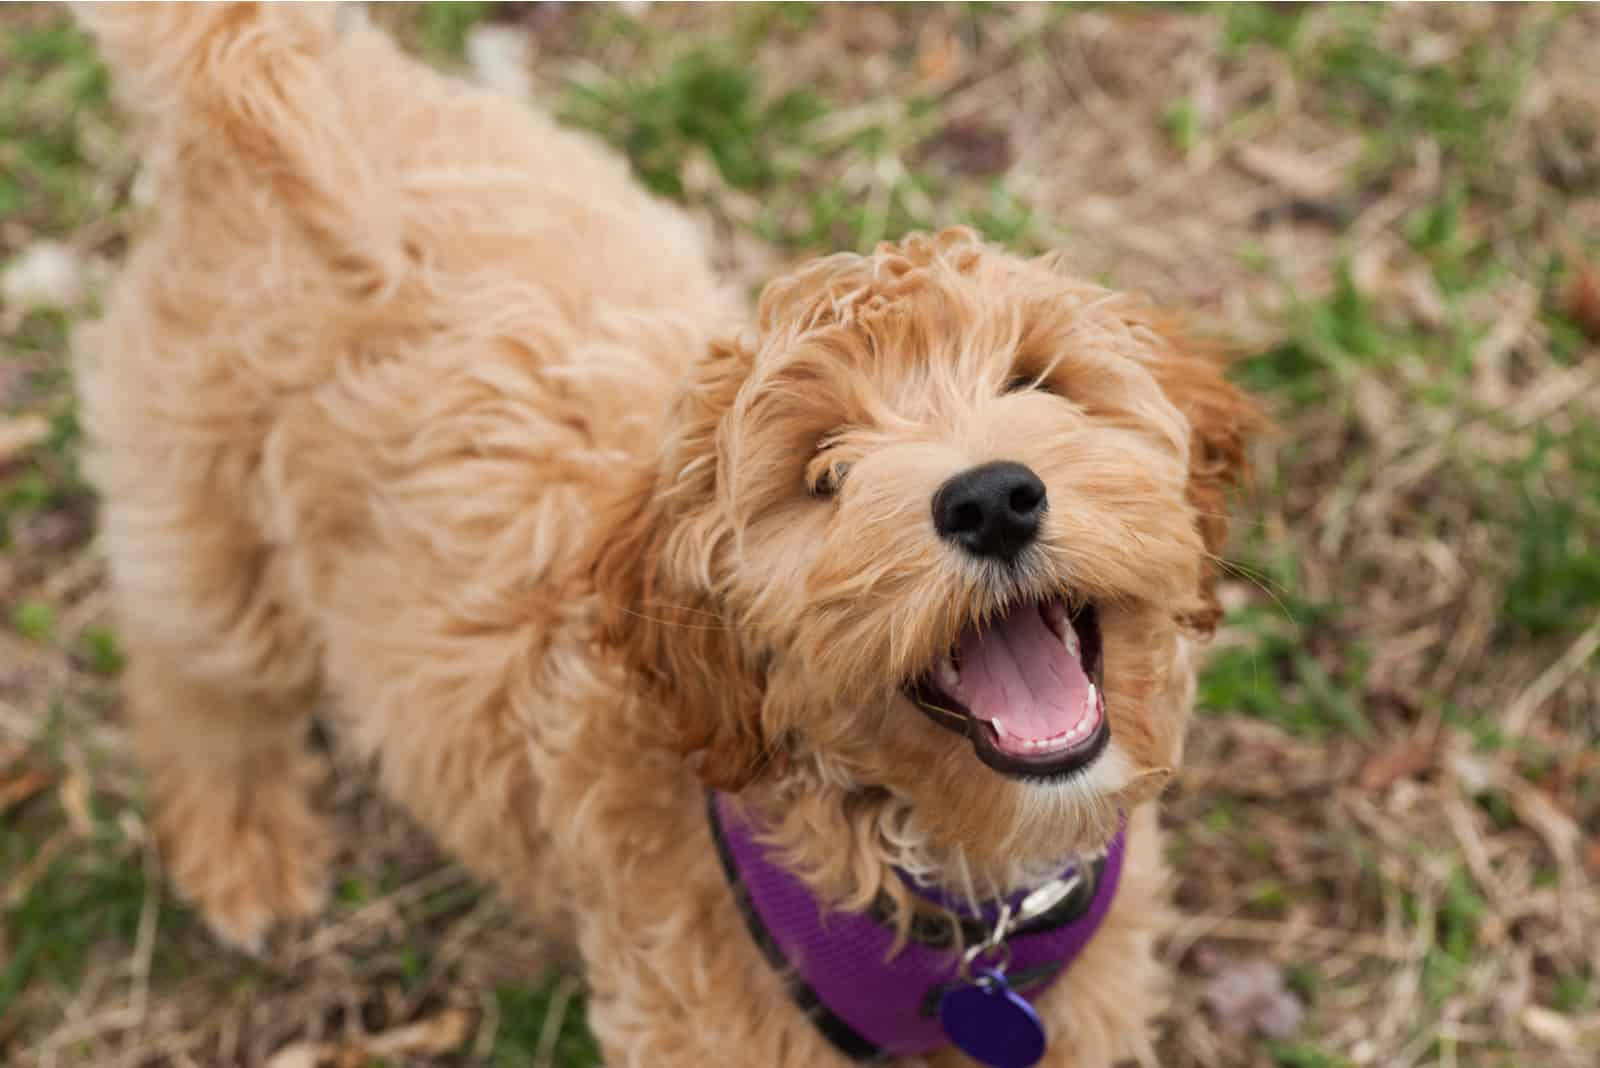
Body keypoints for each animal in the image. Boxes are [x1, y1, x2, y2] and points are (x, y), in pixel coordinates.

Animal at [68, 4, 1254, 1061]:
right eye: (823, 473)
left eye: (1038, 383)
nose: (992, 499)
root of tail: (266, 79)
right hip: (208, 529)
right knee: (194, 687)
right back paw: (245, 857)